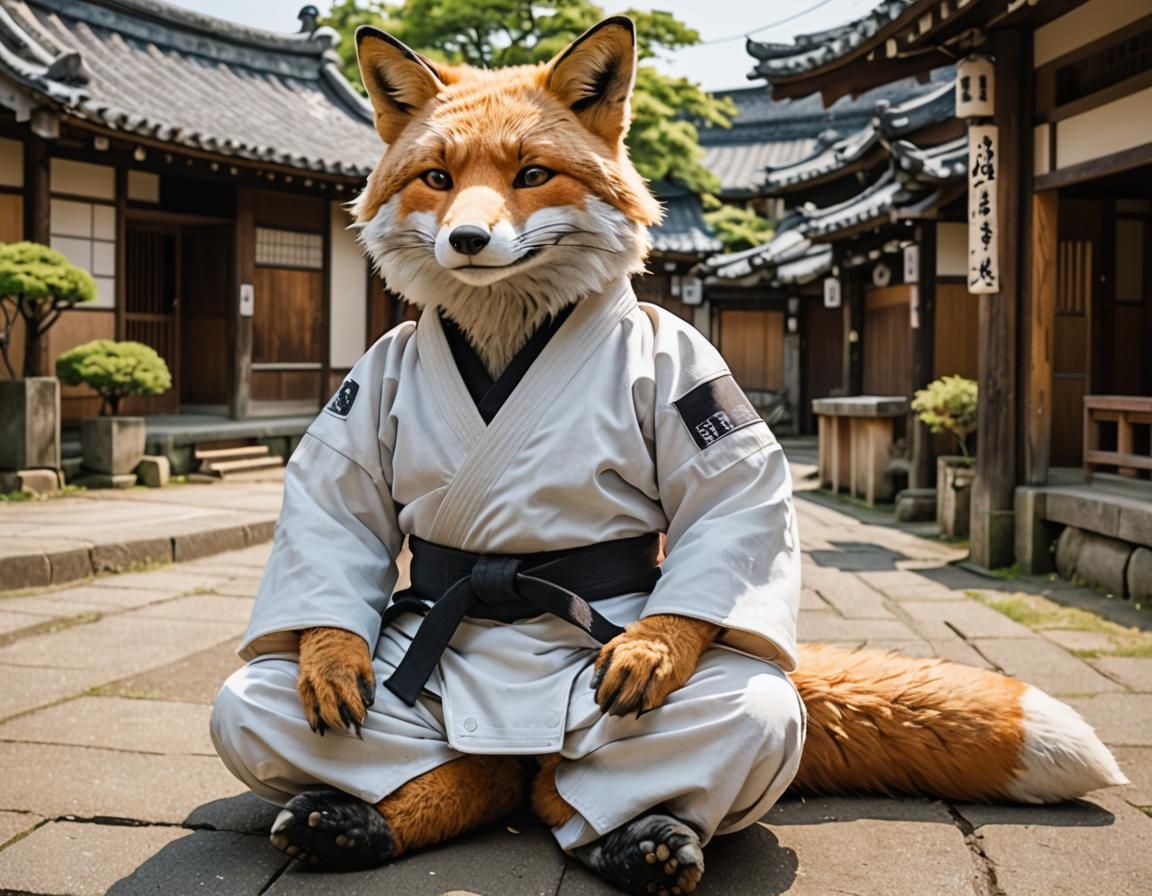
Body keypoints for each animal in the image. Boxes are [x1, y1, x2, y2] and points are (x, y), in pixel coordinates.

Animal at [259, 15, 1127, 896]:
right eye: (436, 178)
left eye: (532, 174)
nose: (467, 239)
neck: (508, 337)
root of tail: (518, 738)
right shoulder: (363, 397)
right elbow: (337, 518)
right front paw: (330, 658)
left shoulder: (694, 382)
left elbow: (723, 511)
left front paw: (655, 649)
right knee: (379, 741)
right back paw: (355, 820)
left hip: (720, 697)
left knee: (590, 773)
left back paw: (638, 837)